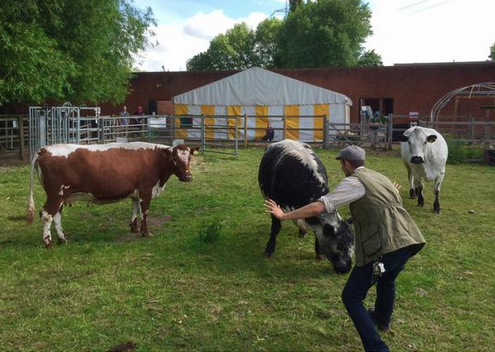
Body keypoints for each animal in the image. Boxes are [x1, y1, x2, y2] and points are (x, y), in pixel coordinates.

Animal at [27, 141, 200, 248]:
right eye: (175, 158)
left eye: (190, 157)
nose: (188, 177)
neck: (156, 160)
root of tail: (45, 149)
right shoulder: (146, 190)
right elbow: (144, 212)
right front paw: (146, 232)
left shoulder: (135, 191)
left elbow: (135, 209)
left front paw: (134, 228)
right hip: (56, 195)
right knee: (47, 214)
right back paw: (48, 243)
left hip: (61, 196)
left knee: (56, 216)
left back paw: (63, 239)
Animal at [258, 139, 354, 274]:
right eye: (339, 246)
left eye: (352, 244)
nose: (346, 269)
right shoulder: (274, 203)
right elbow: (276, 228)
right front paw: (269, 249)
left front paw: (319, 252)